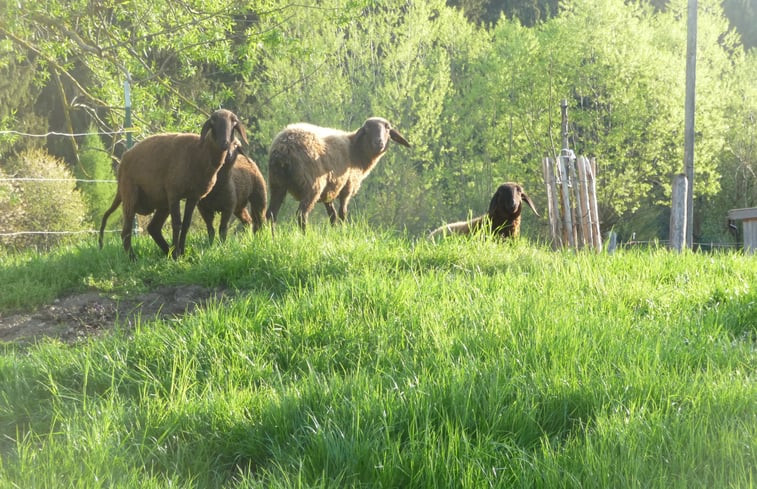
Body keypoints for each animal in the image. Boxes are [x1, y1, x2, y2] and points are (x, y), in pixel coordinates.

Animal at [97, 107, 248, 260]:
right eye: (213, 122)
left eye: (233, 123)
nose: (224, 143)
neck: (201, 154)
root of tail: (124, 159)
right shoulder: (174, 193)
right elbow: (177, 224)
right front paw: (177, 256)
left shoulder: (193, 196)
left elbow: (186, 224)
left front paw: (181, 252)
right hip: (130, 194)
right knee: (126, 232)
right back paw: (134, 258)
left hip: (161, 202)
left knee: (153, 228)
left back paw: (167, 251)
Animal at [264, 116, 408, 229]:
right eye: (367, 129)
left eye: (387, 128)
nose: (379, 143)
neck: (356, 152)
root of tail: (284, 147)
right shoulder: (347, 187)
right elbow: (342, 214)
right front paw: (342, 233)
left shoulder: (330, 190)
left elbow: (333, 216)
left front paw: (334, 232)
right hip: (312, 185)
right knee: (301, 214)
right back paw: (305, 236)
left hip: (277, 182)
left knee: (271, 214)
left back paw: (272, 238)